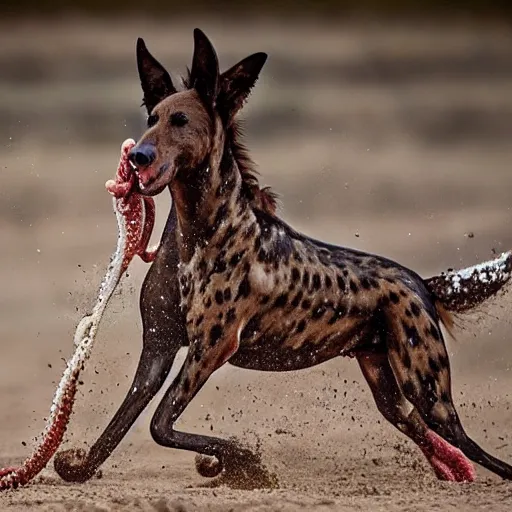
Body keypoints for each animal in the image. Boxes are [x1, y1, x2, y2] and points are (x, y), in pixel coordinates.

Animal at [54, 29, 512, 488]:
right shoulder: (157, 350)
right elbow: (118, 429)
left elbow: (159, 425)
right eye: (152, 118)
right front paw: (76, 464)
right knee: (421, 430)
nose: (138, 156)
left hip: (430, 391)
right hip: (389, 388)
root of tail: (420, 282)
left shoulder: (211, 349)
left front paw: (240, 463)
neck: (197, 235)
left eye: (180, 120)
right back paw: (450, 470)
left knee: (472, 446)